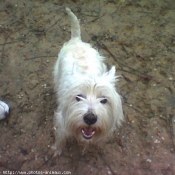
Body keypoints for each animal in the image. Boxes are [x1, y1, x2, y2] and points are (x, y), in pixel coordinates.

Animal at [52, 7, 123, 154]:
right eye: (78, 97)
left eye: (104, 100)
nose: (90, 118)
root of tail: (76, 40)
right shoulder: (62, 121)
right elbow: (60, 137)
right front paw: (57, 149)